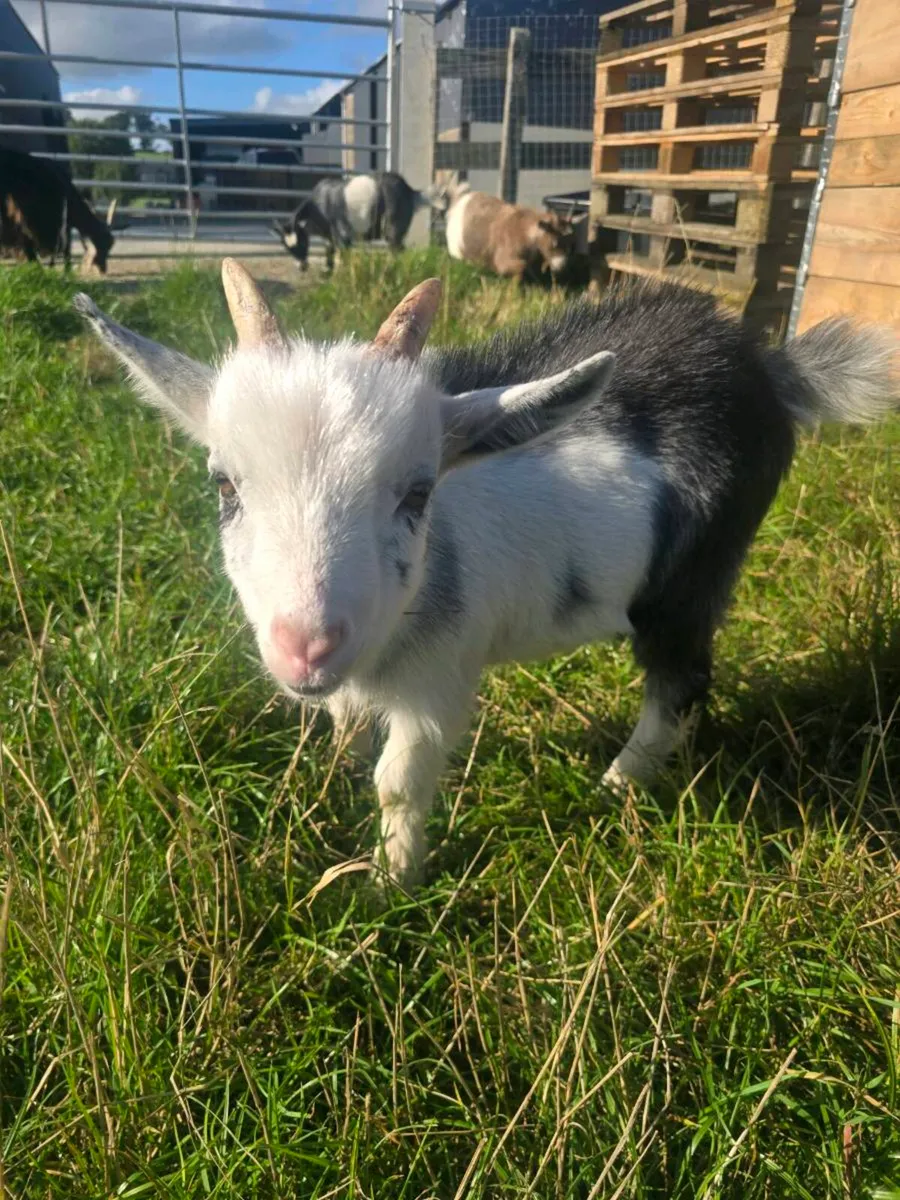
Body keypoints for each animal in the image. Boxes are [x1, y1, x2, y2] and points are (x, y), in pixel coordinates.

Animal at [75, 262, 898, 888]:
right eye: (224, 485)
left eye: (417, 493)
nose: (305, 646)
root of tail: (769, 367)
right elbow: (346, 730)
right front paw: (329, 779)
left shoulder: (440, 681)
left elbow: (399, 783)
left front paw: (390, 888)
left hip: (693, 578)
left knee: (681, 680)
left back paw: (616, 787)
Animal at [272, 171, 433, 271]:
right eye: (287, 248)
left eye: (302, 242)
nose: (302, 267)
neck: (317, 206)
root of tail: (410, 191)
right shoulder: (329, 238)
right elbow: (329, 255)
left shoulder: (342, 236)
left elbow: (342, 259)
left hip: (393, 225)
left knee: (397, 249)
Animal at [442, 179, 574, 284]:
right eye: (554, 243)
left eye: (569, 243)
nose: (561, 267)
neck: (523, 228)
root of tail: (459, 201)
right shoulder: (504, 260)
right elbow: (521, 267)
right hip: (458, 252)